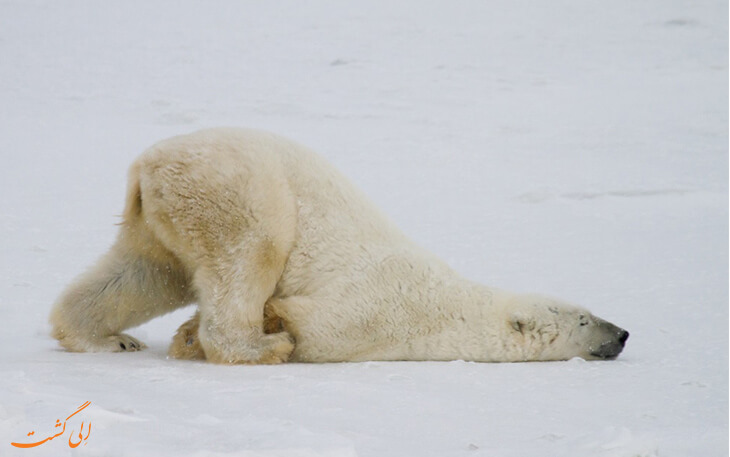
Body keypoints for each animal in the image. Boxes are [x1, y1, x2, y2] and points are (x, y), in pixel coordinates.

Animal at [49, 126, 624, 362]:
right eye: (583, 318)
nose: (622, 333)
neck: (449, 308)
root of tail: (147, 165)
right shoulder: (379, 312)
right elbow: (311, 327)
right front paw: (260, 330)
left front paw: (184, 338)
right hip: (233, 189)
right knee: (250, 251)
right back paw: (259, 348)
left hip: (163, 218)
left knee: (144, 273)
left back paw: (106, 338)